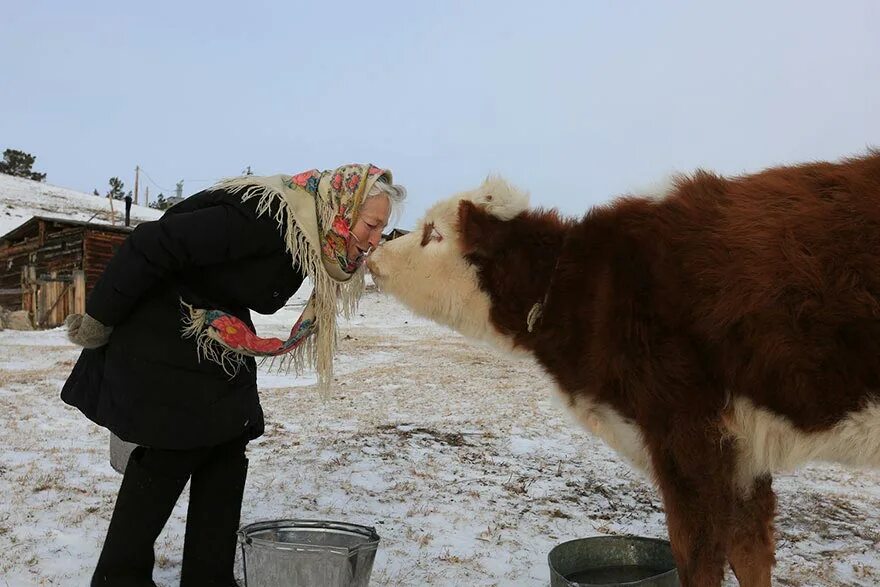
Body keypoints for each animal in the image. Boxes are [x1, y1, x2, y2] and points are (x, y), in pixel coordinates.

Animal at [368, 154, 880, 587]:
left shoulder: (687, 434)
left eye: (433, 233)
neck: (589, 291)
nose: (376, 252)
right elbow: (751, 552)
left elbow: (700, 558)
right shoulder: (743, 452)